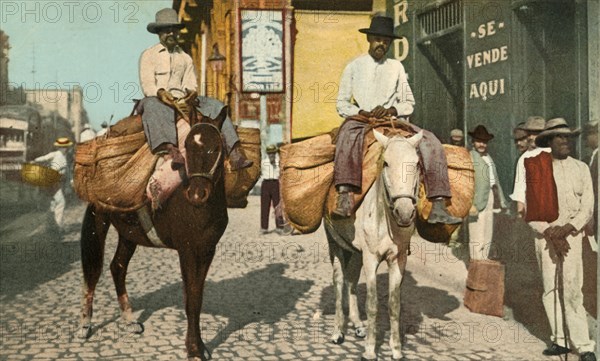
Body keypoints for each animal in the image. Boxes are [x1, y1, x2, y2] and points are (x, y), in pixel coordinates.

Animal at [78, 107, 229, 360]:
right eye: (187, 146)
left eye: (216, 147)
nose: (197, 194)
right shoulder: (187, 251)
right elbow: (190, 299)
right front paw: (194, 349)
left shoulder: (208, 250)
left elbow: (197, 296)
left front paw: (199, 347)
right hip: (98, 225)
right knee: (93, 271)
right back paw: (85, 325)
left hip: (129, 235)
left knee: (117, 267)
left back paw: (130, 321)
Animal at [324, 129, 422, 360]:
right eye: (385, 163)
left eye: (417, 164)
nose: (405, 213)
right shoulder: (371, 258)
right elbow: (372, 303)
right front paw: (369, 350)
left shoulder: (398, 259)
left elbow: (394, 305)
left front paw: (396, 349)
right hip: (335, 244)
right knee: (339, 281)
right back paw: (338, 332)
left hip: (355, 252)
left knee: (350, 281)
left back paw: (358, 325)